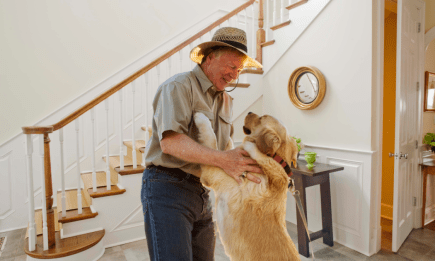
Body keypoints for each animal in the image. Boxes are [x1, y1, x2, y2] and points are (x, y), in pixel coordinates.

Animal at [194, 110, 300, 258]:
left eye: (262, 118)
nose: (249, 111)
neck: (275, 159)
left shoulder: (212, 174)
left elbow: (212, 140)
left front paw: (201, 117)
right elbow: (227, 152)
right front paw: (230, 141)